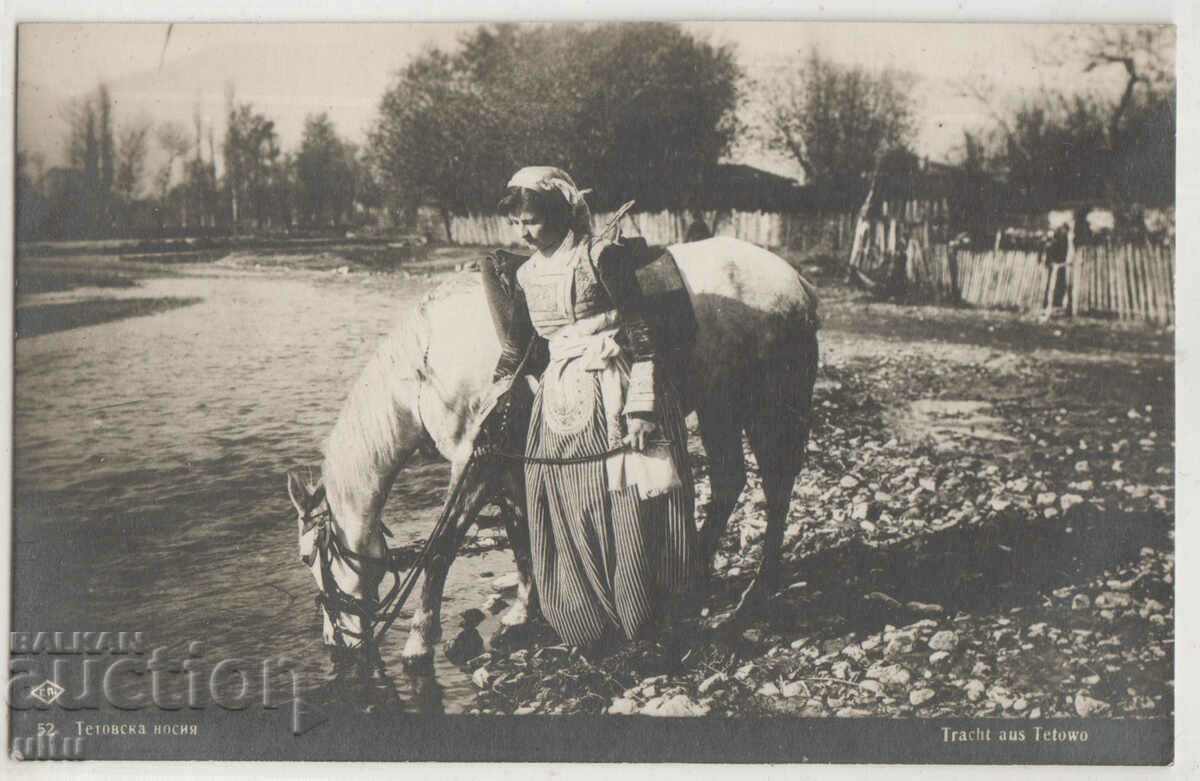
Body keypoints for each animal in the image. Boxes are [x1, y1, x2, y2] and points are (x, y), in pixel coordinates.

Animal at [285, 236, 820, 662]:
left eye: (313, 560)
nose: (335, 643)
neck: (427, 364)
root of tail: (794, 280)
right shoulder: (503, 463)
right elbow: (520, 534)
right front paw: (524, 611)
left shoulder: (474, 464)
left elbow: (442, 549)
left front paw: (419, 638)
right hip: (718, 406)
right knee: (731, 482)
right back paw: (696, 583)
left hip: (769, 407)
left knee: (777, 488)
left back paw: (753, 596)